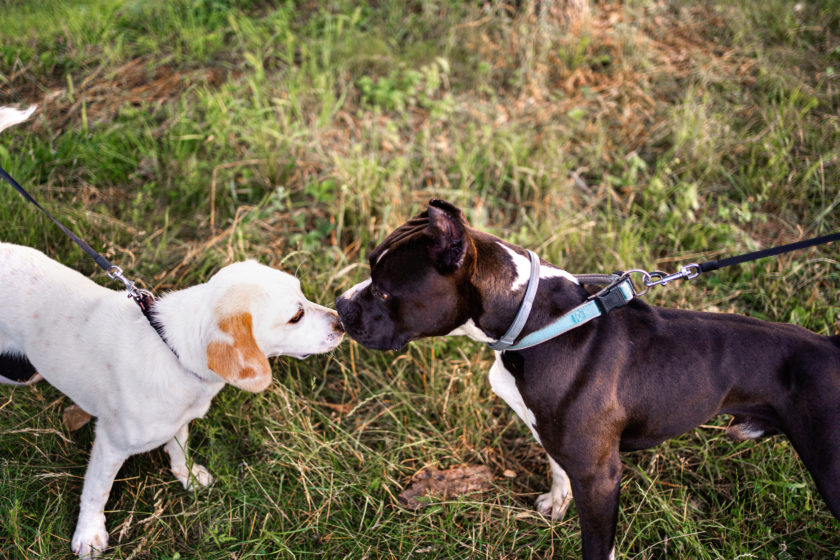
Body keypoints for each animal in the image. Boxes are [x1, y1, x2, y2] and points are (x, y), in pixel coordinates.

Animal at [338, 200, 840, 560]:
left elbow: (598, 545)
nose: (341, 306)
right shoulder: (559, 443)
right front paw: (555, 504)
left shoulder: (600, 475)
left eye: (383, 291)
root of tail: (832, 347)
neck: (534, 320)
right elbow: (557, 468)